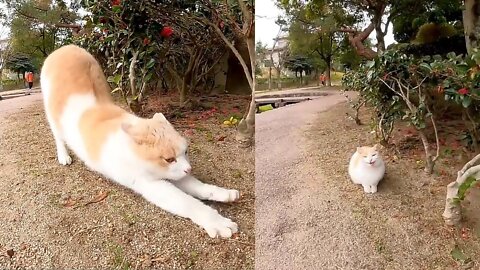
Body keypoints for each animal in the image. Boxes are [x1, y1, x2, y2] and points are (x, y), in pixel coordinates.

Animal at [40, 44, 239, 238]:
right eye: (169, 159)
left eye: (186, 152)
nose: (189, 169)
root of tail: (66, 47)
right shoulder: (151, 184)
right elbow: (188, 203)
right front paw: (215, 221)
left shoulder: (172, 174)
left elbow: (198, 186)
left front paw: (222, 193)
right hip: (51, 114)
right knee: (58, 135)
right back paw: (64, 156)